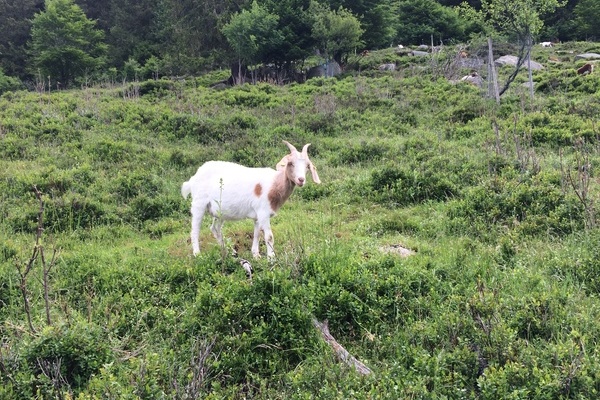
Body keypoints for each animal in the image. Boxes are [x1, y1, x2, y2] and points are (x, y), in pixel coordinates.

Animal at [180, 141, 322, 260]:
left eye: (307, 166)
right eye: (291, 163)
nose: (301, 180)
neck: (274, 184)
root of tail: (194, 177)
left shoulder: (258, 215)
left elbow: (257, 234)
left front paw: (256, 255)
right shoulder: (263, 212)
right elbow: (269, 236)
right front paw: (271, 258)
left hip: (219, 211)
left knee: (215, 228)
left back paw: (229, 251)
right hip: (198, 204)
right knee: (195, 230)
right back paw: (197, 254)